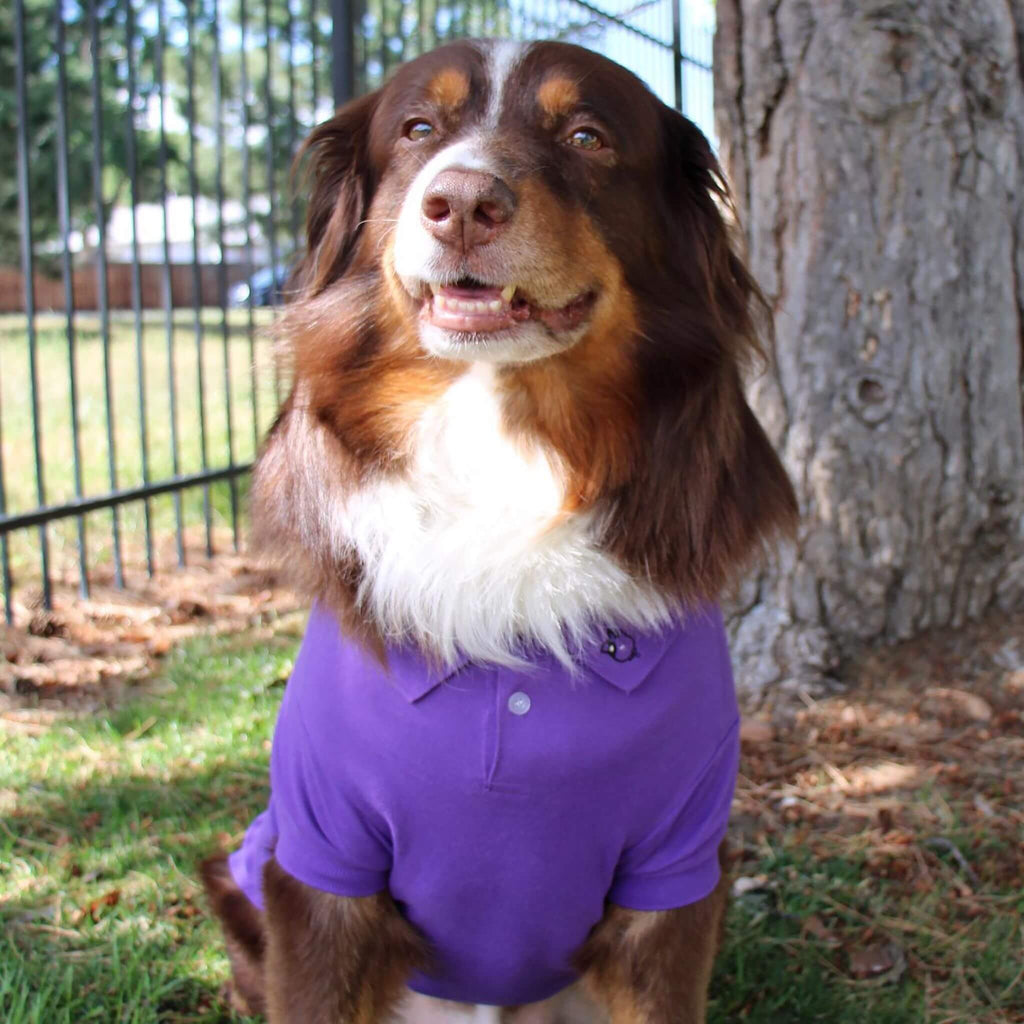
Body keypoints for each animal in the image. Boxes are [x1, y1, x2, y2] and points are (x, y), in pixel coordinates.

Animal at [197, 37, 790, 1024]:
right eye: (416, 130)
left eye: (587, 136)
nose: (464, 203)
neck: (502, 455)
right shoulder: (321, 867)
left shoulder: (674, 878)